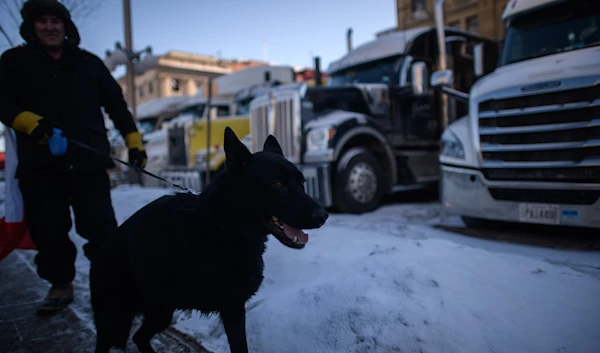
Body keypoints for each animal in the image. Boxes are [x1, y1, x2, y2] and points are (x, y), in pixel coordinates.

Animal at [90, 127, 328, 352]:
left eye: (302, 182)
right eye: (278, 184)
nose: (323, 216)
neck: (225, 227)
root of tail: (101, 250)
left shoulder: (234, 307)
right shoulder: (232, 308)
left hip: (161, 311)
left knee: (139, 338)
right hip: (115, 318)